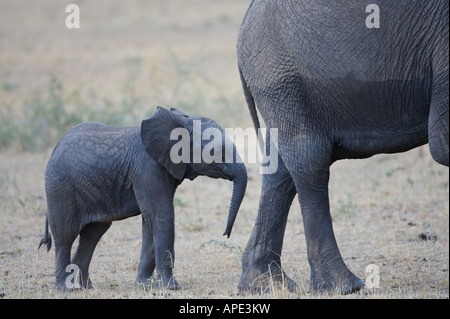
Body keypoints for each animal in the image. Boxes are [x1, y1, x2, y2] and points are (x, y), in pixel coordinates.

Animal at [39, 107, 248, 292]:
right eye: (217, 151)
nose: (225, 234)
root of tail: (55, 148)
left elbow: (150, 221)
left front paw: (144, 286)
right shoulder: (147, 168)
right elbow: (162, 215)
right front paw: (171, 288)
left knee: (93, 234)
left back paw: (85, 288)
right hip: (60, 188)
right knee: (65, 236)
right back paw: (66, 289)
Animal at [237, 0, 448, 296]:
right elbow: (442, 146)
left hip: (283, 86)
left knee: (280, 171)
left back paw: (265, 284)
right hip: (281, 80)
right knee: (310, 162)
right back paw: (343, 286)